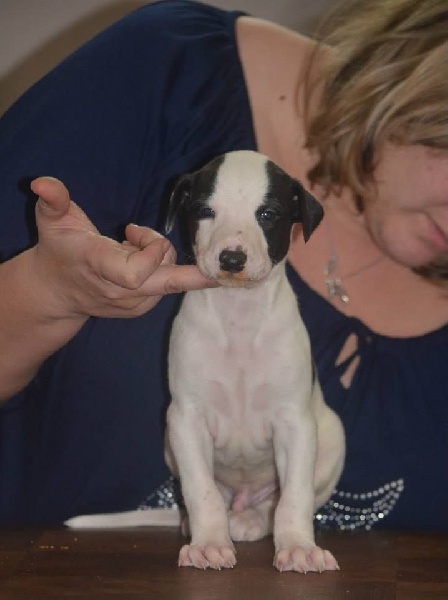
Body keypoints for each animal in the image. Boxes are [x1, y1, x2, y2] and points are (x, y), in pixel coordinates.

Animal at [66, 150, 345, 574]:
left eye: (269, 214)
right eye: (205, 211)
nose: (232, 258)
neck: (239, 314)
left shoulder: (294, 422)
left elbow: (295, 495)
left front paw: (298, 546)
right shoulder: (186, 419)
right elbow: (202, 490)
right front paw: (210, 543)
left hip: (332, 438)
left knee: (279, 501)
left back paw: (251, 519)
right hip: (170, 443)